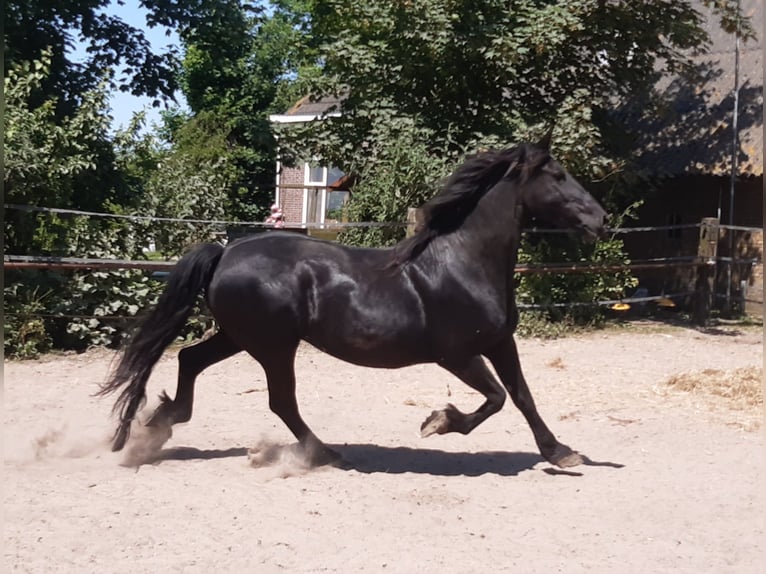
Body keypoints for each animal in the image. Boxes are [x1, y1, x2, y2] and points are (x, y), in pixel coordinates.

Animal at [99, 137, 608, 470]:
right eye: (558, 176)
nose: (602, 219)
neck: (462, 264)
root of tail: (227, 251)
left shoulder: (502, 343)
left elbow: (522, 396)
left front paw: (561, 452)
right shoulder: (457, 355)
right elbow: (496, 398)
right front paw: (437, 422)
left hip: (240, 337)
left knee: (190, 359)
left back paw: (160, 423)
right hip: (273, 346)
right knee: (281, 401)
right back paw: (325, 454)